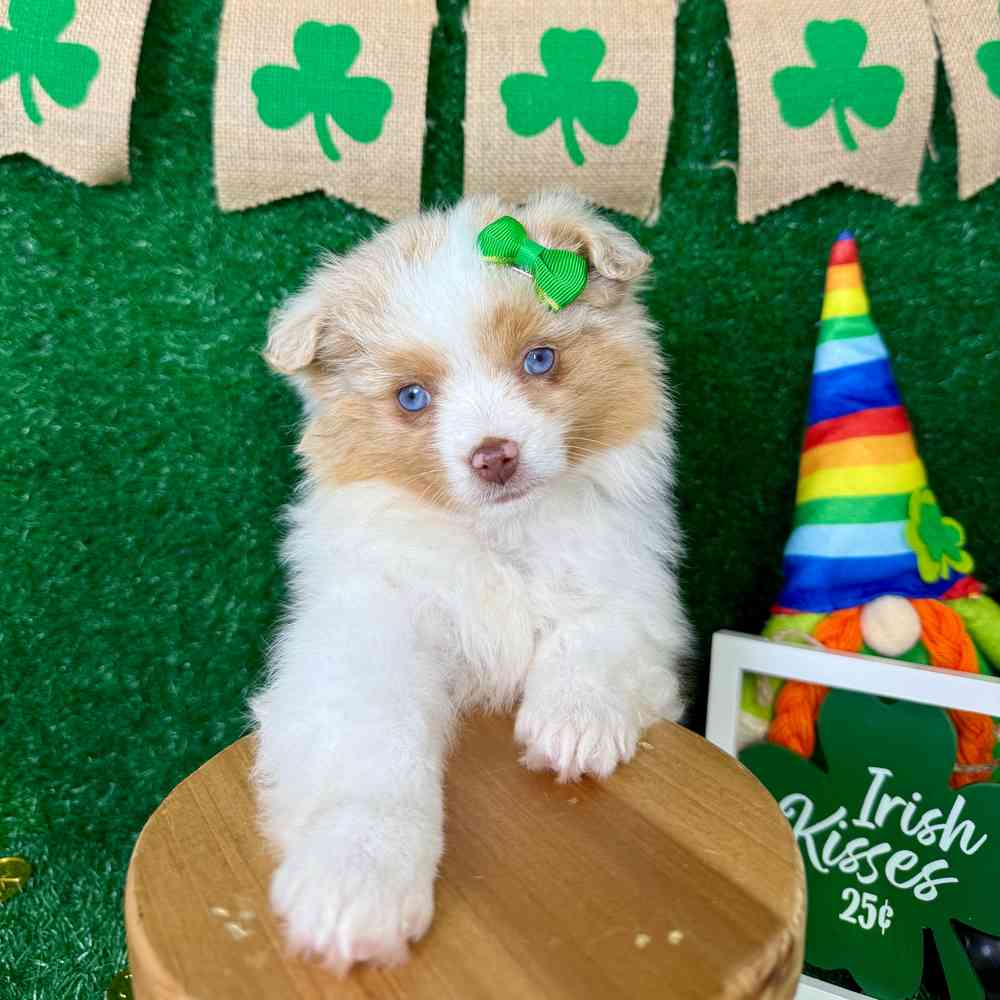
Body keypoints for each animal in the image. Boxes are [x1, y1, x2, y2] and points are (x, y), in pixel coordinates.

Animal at [250, 190, 691, 972]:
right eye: (412, 398)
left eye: (539, 360)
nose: (495, 455)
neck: (498, 536)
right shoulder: (365, 634)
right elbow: (371, 750)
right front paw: (356, 886)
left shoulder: (633, 587)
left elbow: (595, 636)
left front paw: (572, 725)